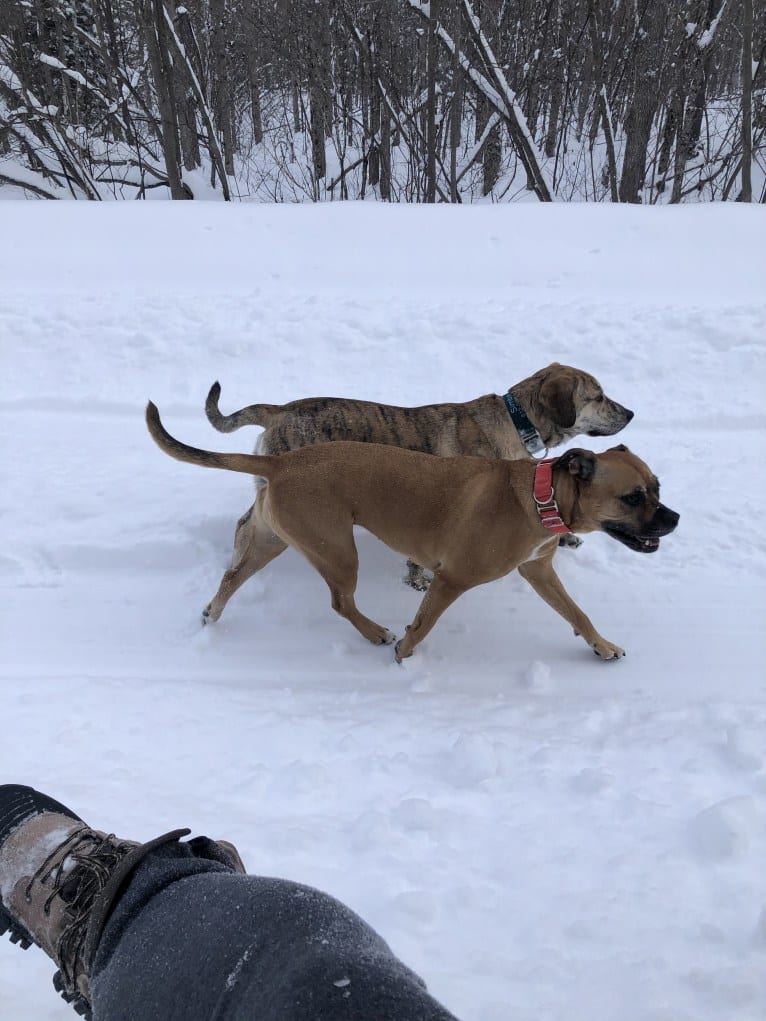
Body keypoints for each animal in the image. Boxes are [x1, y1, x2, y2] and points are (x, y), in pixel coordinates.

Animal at [144, 402, 678, 665]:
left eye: (657, 486)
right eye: (633, 497)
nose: (673, 520)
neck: (539, 494)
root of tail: (282, 462)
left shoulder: (539, 571)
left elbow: (578, 613)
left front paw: (601, 645)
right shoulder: (452, 579)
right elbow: (423, 623)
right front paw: (404, 652)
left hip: (275, 539)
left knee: (232, 575)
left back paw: (213, 614)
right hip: (336, 549)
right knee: (340, 601)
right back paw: (376, 632)